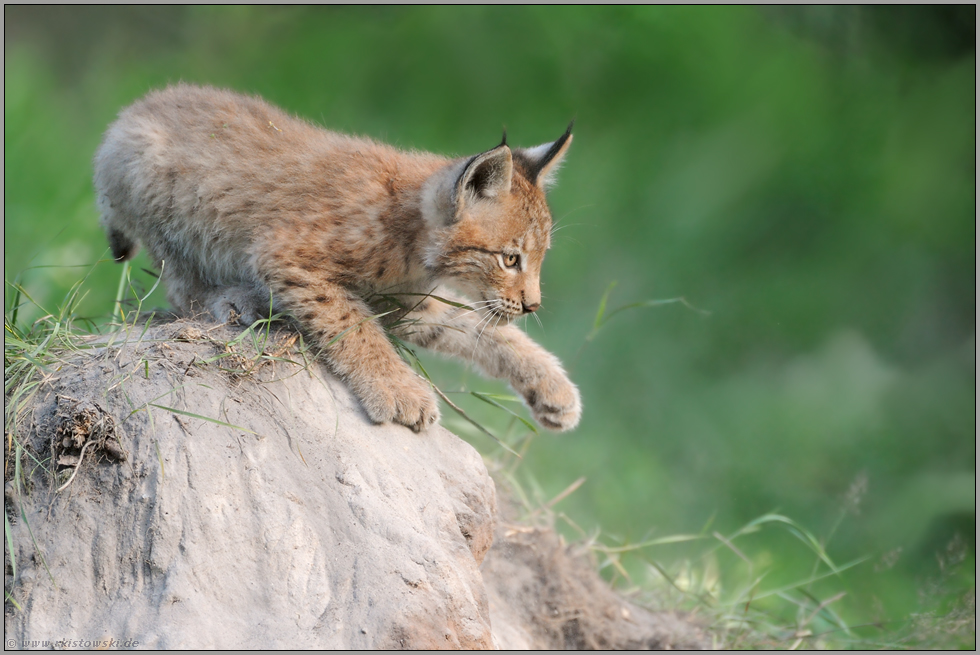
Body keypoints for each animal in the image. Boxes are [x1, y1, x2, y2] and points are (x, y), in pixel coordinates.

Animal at [94, 86, 580, 436]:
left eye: (537, 258)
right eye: (510, 259)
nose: (533, 305)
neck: (416, 244)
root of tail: (134, 108)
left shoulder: (406, 307)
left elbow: (479, 329)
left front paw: (552, 387)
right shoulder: (288, 255)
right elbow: (355, 327)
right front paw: (400, 392)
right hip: (167, 207)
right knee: (182, 290)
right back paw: (237, 299)